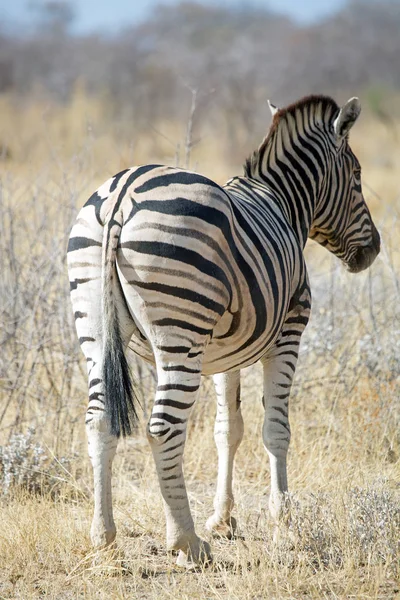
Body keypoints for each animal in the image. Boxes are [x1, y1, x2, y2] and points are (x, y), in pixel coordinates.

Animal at [69, 94, 382, 568]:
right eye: (359, 176)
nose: (375, 250)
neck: (283, 203)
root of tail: (122, 195)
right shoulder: (290, 331)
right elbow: (276, 429)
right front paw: (283, 525)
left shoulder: (223, 353)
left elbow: (227, 430)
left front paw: (223, 518)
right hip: (181, 332)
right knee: (163, 428)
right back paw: (187, 542)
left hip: (95, 324)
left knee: (99, 419)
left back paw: (103, 536)